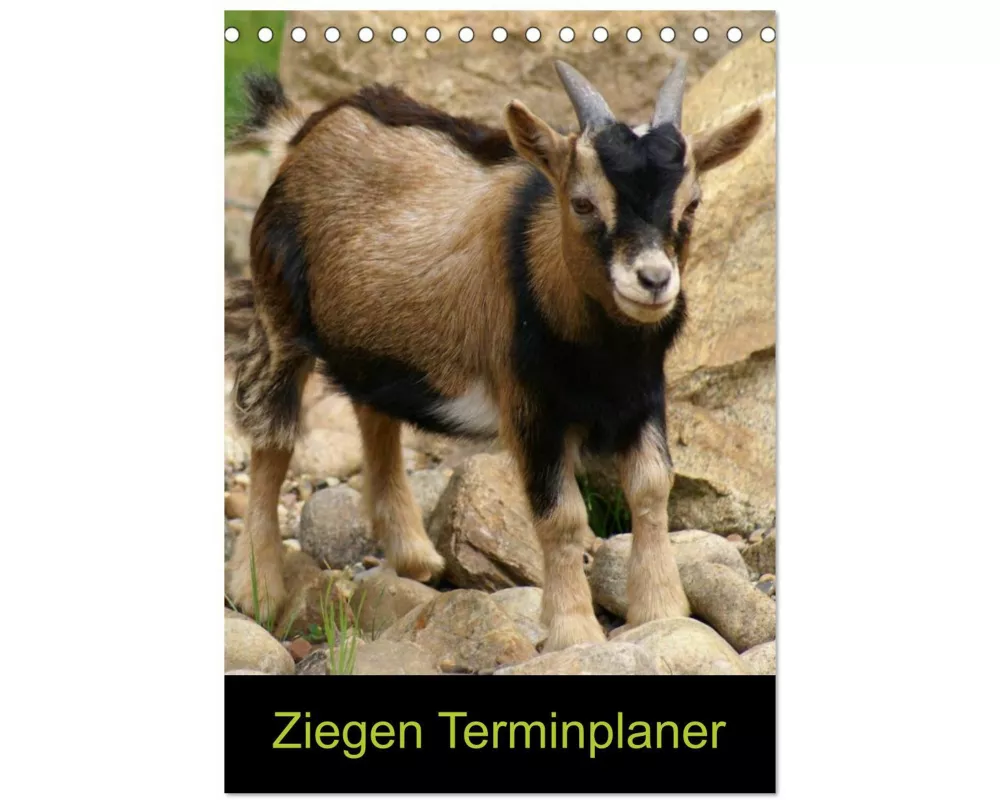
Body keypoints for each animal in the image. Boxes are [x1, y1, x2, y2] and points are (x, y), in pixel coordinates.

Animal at [225, 60, 762, 651]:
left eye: (692, 204)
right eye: (583, 202)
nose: (653, 280)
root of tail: (302, 131)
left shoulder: (644, 394)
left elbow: (650, 489)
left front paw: (661, 610)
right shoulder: (531, 405)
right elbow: (562, 516)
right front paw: (573, 631)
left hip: (379, 341)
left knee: (375, 415)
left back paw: (413, 556)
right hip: (280, 312)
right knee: (272, 440)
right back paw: (258, 588)